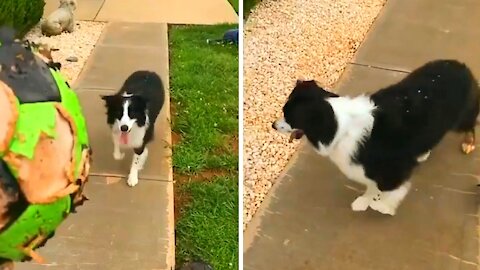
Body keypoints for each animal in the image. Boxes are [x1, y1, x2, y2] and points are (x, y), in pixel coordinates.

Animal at [274, 60, 480, 216]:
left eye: (288, 116)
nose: (273, 125)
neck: (337, 126)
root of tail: (460, 65)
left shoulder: (392, 168)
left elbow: (389, 188)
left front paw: (383, 206)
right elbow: (371, 186)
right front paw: (365, 200)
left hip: (460, 118)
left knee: (471, 125)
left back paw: (469, 143)